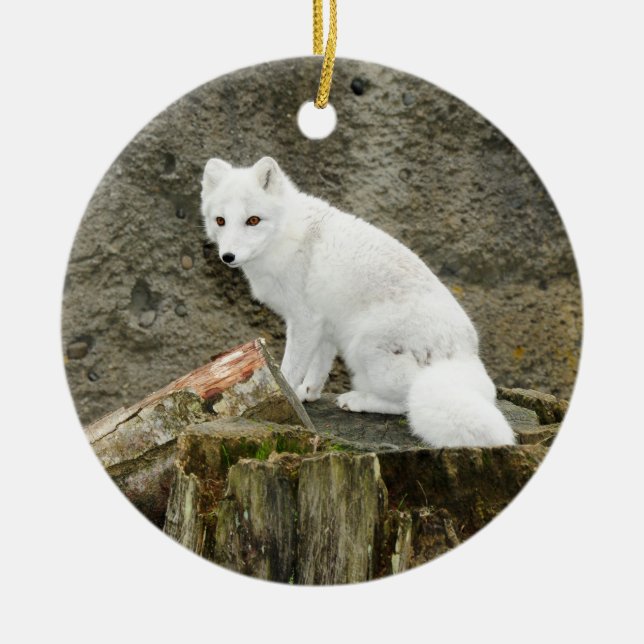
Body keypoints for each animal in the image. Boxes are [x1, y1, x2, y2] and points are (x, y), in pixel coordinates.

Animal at [200, 157, 515, 448]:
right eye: (220, 221)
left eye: (253, 220)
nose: (227, 256)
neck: (287, 235)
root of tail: (465, 357)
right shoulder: (324, 324)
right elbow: (319, 365)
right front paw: (308, 393)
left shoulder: (304, 321)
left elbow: (289, 369)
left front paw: (285, 396)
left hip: (363, 346)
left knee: (406, 403)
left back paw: (357, 400)